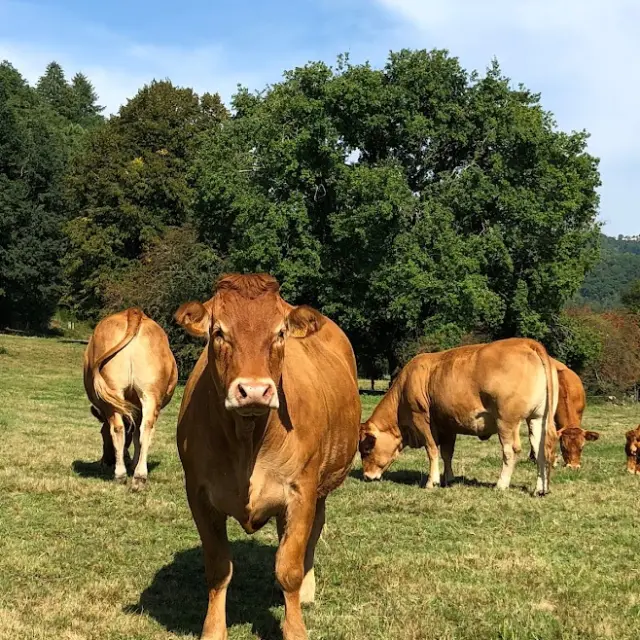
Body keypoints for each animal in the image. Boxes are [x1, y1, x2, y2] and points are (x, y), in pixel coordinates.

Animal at [83, 308, 178, 489]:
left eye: (101, 433)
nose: (106, 461)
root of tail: (133, 312)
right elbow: (136, 435)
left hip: (115, 393)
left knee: (118, 428)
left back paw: (121, 475)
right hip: (150, 393)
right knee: (146, 429)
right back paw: (138, 476)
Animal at [174, 273, 361, 640]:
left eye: (280, 333)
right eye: (219, 332)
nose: (254, 391)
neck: (247, 441)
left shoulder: (301, 490)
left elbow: (289, 566)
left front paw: (295, 627)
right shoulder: (198, 494)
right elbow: (218, 569)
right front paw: (213, 630)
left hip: (320, 488)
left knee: (310, 536)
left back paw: (305, 591)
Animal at [359, 338, 558, 496]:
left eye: (366, 449)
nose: (366, 476)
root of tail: (524, 342)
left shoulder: (421, 419)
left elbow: (432, 449)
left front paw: (432, 481)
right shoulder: (448, 424)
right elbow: (447, 453)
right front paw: (449, 479)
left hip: (506, 421)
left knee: (511, 450)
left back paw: (501, 484)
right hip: (537, 418)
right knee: (540, 450)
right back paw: (540, 489)